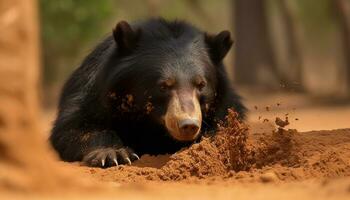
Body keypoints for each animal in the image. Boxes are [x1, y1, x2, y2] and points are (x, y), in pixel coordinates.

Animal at [50, 18, 246, 168]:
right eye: (164, 86)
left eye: (201, 84)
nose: (188, 125)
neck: (150, 123)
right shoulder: (91, 95)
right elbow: (74, 128)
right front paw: (114, 154)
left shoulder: (226, 106)